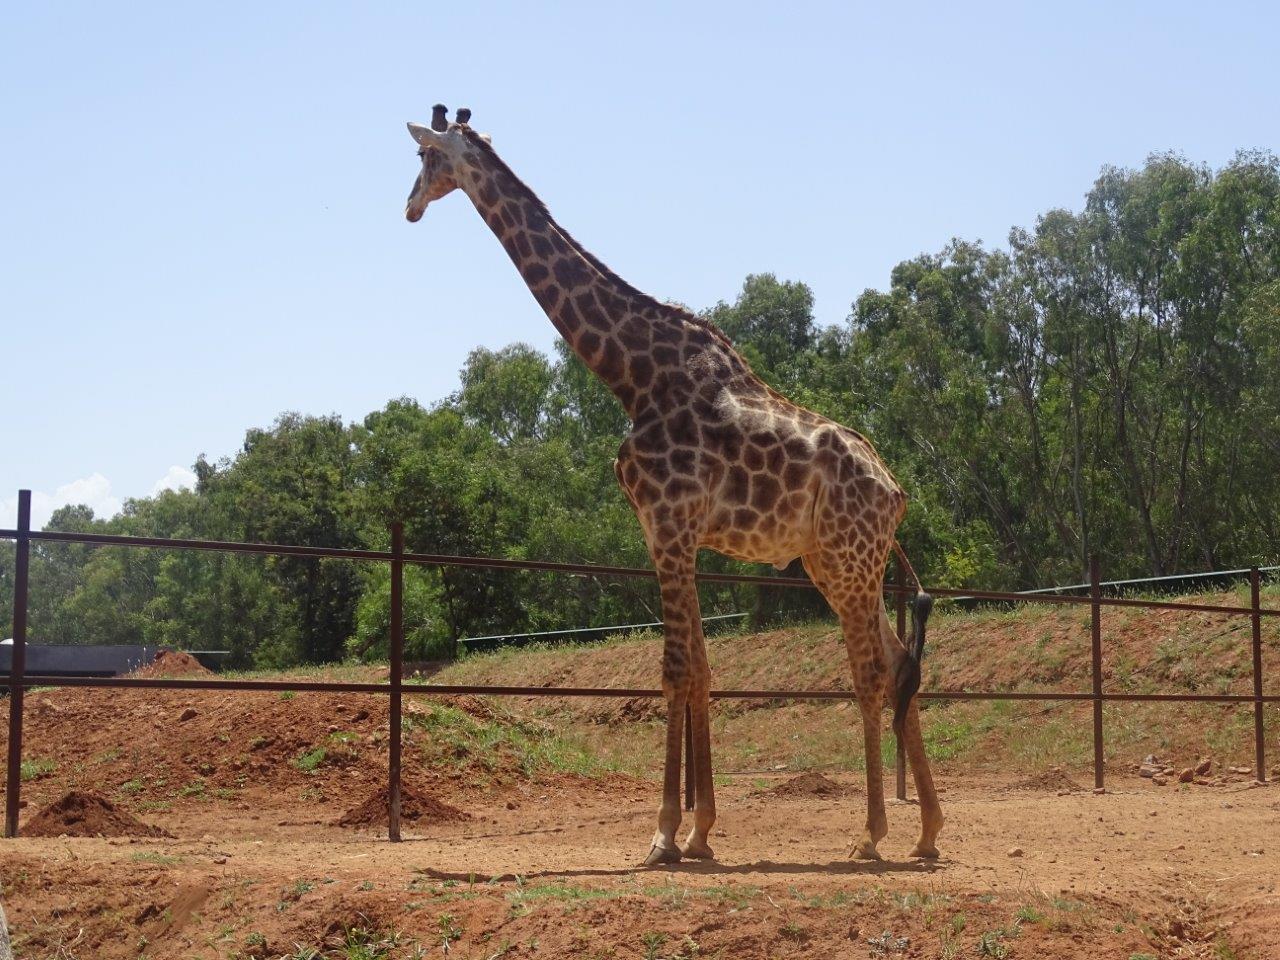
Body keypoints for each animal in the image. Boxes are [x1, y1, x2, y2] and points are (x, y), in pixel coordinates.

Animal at [404, 105, 943, 865]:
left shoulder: (667, 523)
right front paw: (700, 831)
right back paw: (927, 832)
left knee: (871, 671)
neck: (632, 376)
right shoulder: (672, 532)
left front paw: (663, 833)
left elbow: (674, 667)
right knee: (899, 666)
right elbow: (702, 669)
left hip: (848, 560)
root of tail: (896, 494)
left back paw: (871, 835)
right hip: (836, 564)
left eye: (426, 158)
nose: (410, 207)